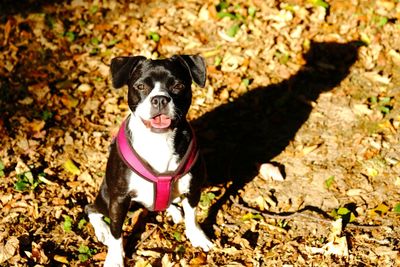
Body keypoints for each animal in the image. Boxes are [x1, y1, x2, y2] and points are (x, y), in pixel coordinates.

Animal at [86, 55, 214, 266]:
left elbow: (192, 215)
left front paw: (197, 236)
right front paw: (114, 258)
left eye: (178, 86)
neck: (159, 140)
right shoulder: (119, 199)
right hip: (107, 197)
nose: (160, 99)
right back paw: (102, 230)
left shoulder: (193, 188)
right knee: (91, 209)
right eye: (140, 86)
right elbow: (116, 232)